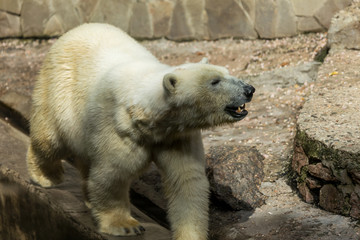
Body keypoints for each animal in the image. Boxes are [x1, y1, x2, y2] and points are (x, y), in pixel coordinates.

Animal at [26, 23, 255, 240]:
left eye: (227, 73)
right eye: (215, 81)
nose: (249, 89)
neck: (148, 118)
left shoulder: (176, 136)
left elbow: (187, 180)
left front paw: (190, 234)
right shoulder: (118, 129)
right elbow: (113, 174)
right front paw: (125, 226)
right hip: (60, 93)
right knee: (50, 139)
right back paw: (46, 176)